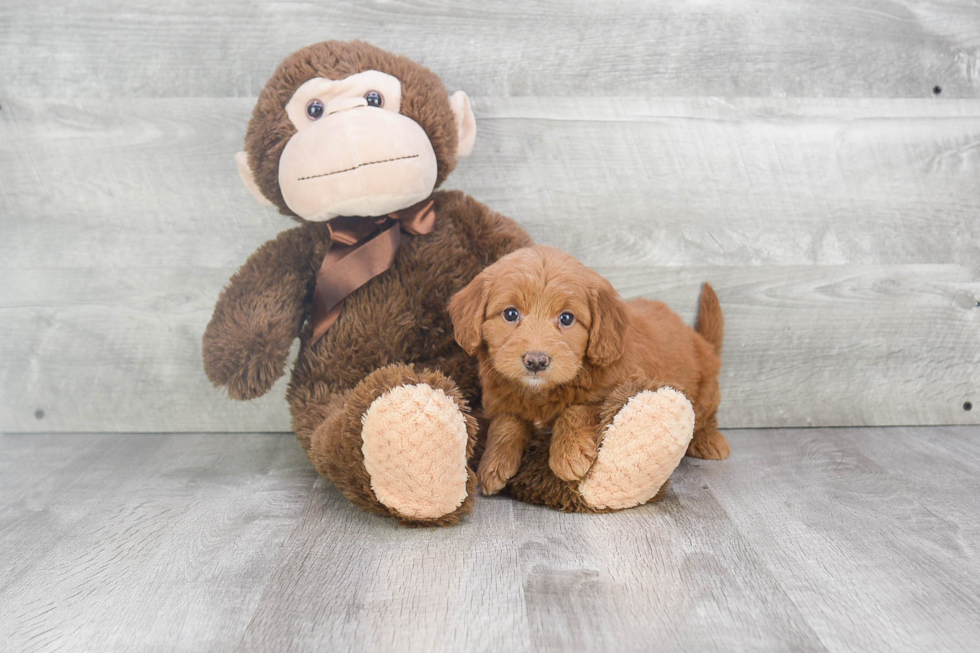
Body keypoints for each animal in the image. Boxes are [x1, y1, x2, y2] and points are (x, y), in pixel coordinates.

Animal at [448, 246, 724, 494]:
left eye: (567, 318)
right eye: (510, 314)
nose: (536, 361)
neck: (543, 392)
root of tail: (700, 339)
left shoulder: (620, 388)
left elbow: (579, 409)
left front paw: (568, 455)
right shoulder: (501, 399)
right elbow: (506, 421)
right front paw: (493, 464)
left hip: (706, 390)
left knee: (706, 416)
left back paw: (710, 441)